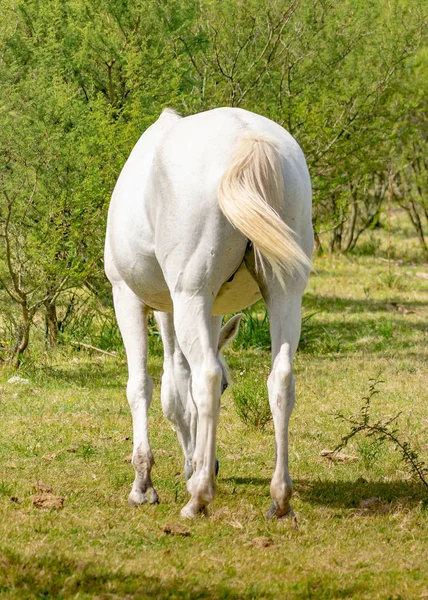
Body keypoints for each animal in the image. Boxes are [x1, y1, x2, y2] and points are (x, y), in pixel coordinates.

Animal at [105, 105, 312, 516]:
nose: (210, 465)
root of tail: (247, 138)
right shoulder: (206, 308)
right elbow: (178, 382)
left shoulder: (129, 298)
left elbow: (147, 387)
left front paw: (143, 484)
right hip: (283, 294)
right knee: (281, 379)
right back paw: (279, 499)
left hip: (191, 295)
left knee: (206, 376)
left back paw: (198, 497)